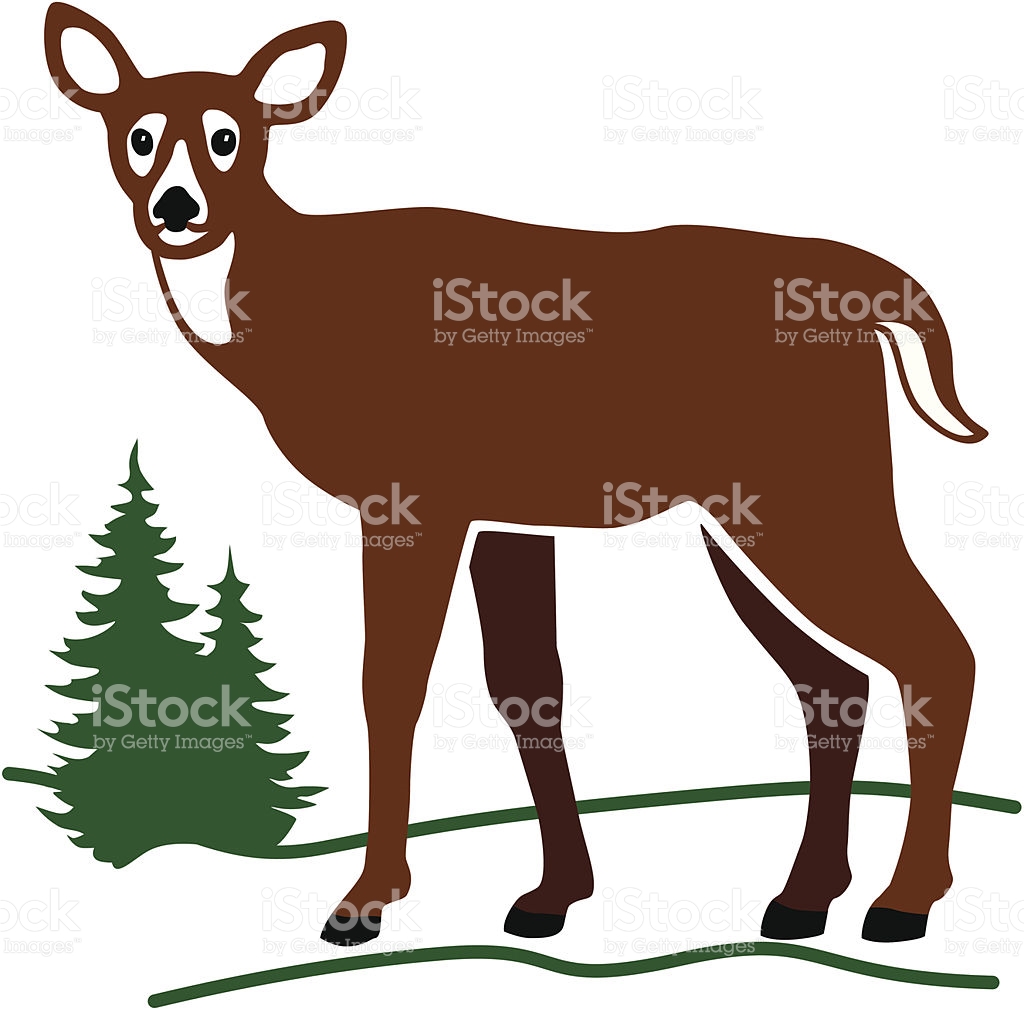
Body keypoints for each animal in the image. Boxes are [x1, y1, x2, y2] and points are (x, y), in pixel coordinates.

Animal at [44, 3, 987, 949]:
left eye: (229, 134)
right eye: (137, 134)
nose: (176, 207)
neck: (295, 319)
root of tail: (869, 298)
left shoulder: (412, 497)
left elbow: (391, 684)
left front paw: (365, 900)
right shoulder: (505, 511)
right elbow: (528, 688)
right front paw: (553, 895)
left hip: (811, 486)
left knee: (937, 651)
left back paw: (904, 901)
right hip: (744, 510)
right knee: (834, 678)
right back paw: (803, 897)